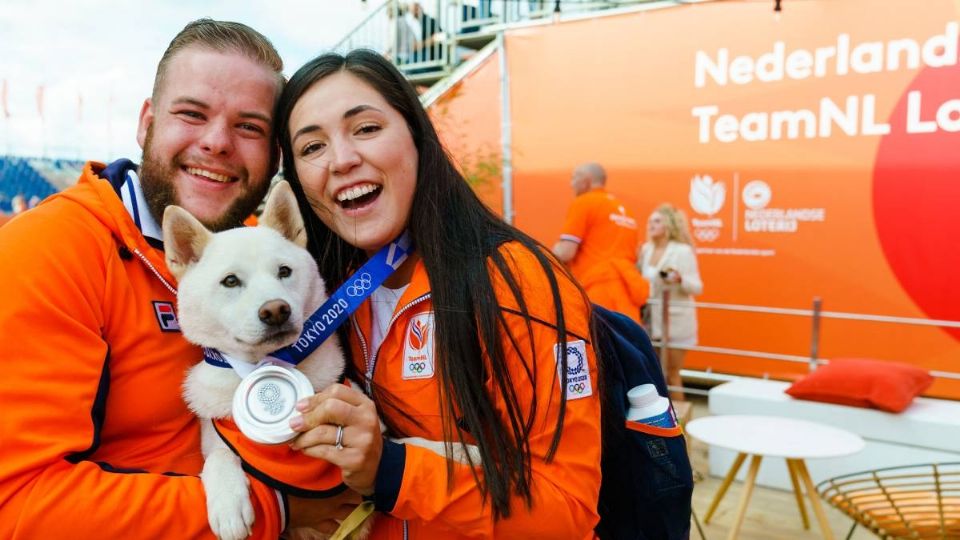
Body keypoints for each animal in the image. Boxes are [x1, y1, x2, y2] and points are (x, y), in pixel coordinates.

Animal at [164, 182, 480, 540]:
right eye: (230, 281)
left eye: (284, 271)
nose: (276, 310)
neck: (273, 362)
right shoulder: (215, 440)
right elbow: (217, 458)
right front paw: (228, 503)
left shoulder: (374, 428)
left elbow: (410, 443)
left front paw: (461, 454)